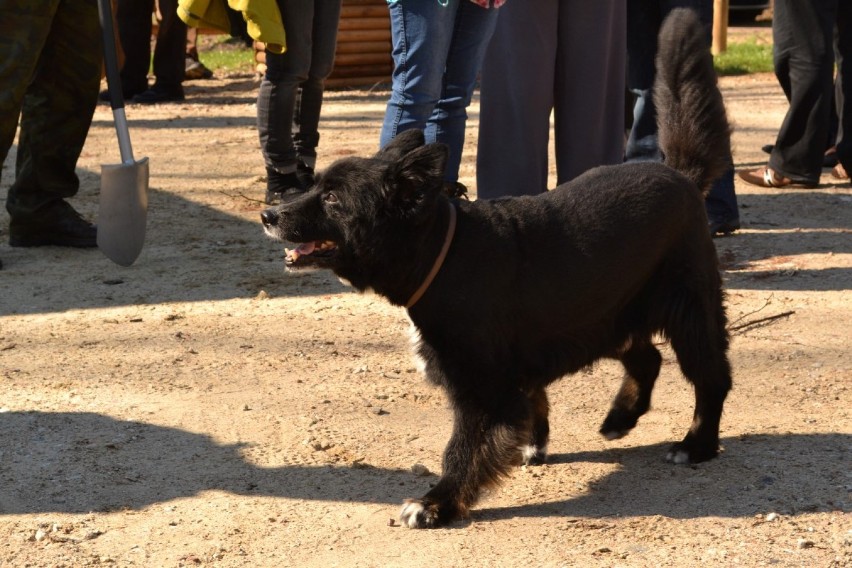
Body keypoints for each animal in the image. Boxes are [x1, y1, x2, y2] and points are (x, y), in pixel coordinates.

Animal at [262, 8, 732, 532]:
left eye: (331, 199)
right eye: (316, 185)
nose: (268, 214)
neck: (445, 253)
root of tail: (682, 176)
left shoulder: (481, 387)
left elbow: (463, 448)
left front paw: (437, 503)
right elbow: (532, 405)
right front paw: (532, 444)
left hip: (689, 313)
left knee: (711, 379)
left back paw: (696, 445)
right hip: (607, 314)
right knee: (646, 359)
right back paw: (620, 418)